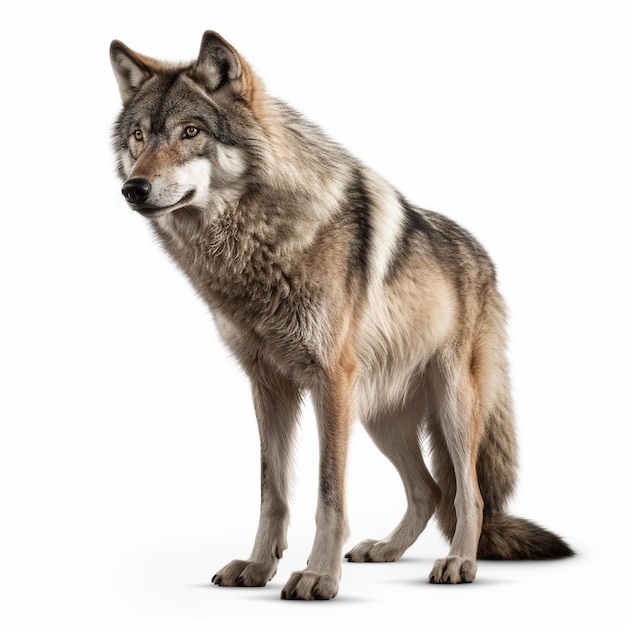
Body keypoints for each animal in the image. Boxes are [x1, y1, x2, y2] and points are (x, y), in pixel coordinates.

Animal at [111, 31, 572, 596]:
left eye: (191, 131)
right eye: (138, 136)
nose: (134, 188)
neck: (254, 247)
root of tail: (484, 258)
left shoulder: (330, 381)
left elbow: (328, 494)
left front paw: (317, 576)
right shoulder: (269, 385)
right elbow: (271, 490)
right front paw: (258, 567)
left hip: (450, 403)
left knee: (469, 492)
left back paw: (459, 562)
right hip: (378, 415)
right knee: (429, 490)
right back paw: (386, 550)